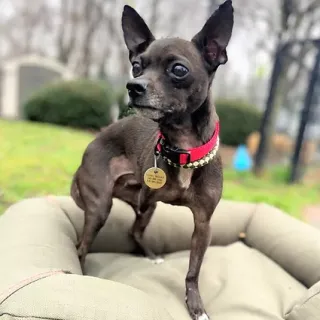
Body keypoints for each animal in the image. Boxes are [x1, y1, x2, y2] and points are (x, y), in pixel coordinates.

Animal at [71, 1, 234, 318]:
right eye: (137, 66)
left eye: (178, 69)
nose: (133, 86)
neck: (183, 149)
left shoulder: (203, 225)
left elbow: (193, 271)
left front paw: (195, 305)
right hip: (102, 207)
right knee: (82, 245)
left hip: (145, 207)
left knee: (134, 231)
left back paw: (150, 255)